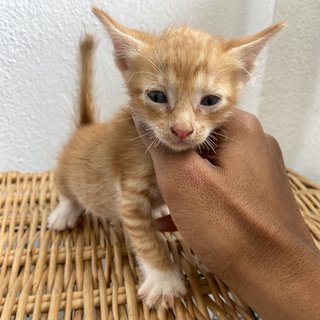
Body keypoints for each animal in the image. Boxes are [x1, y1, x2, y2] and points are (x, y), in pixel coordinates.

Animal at [48, 6, 284, 308]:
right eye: (157, 96)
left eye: (210, 100)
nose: (182, 129)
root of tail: (85, 128)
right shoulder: (130, 196)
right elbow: (146, 240)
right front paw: (163, 279)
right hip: (67, 170)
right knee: (68, 192)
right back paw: (64, 213)